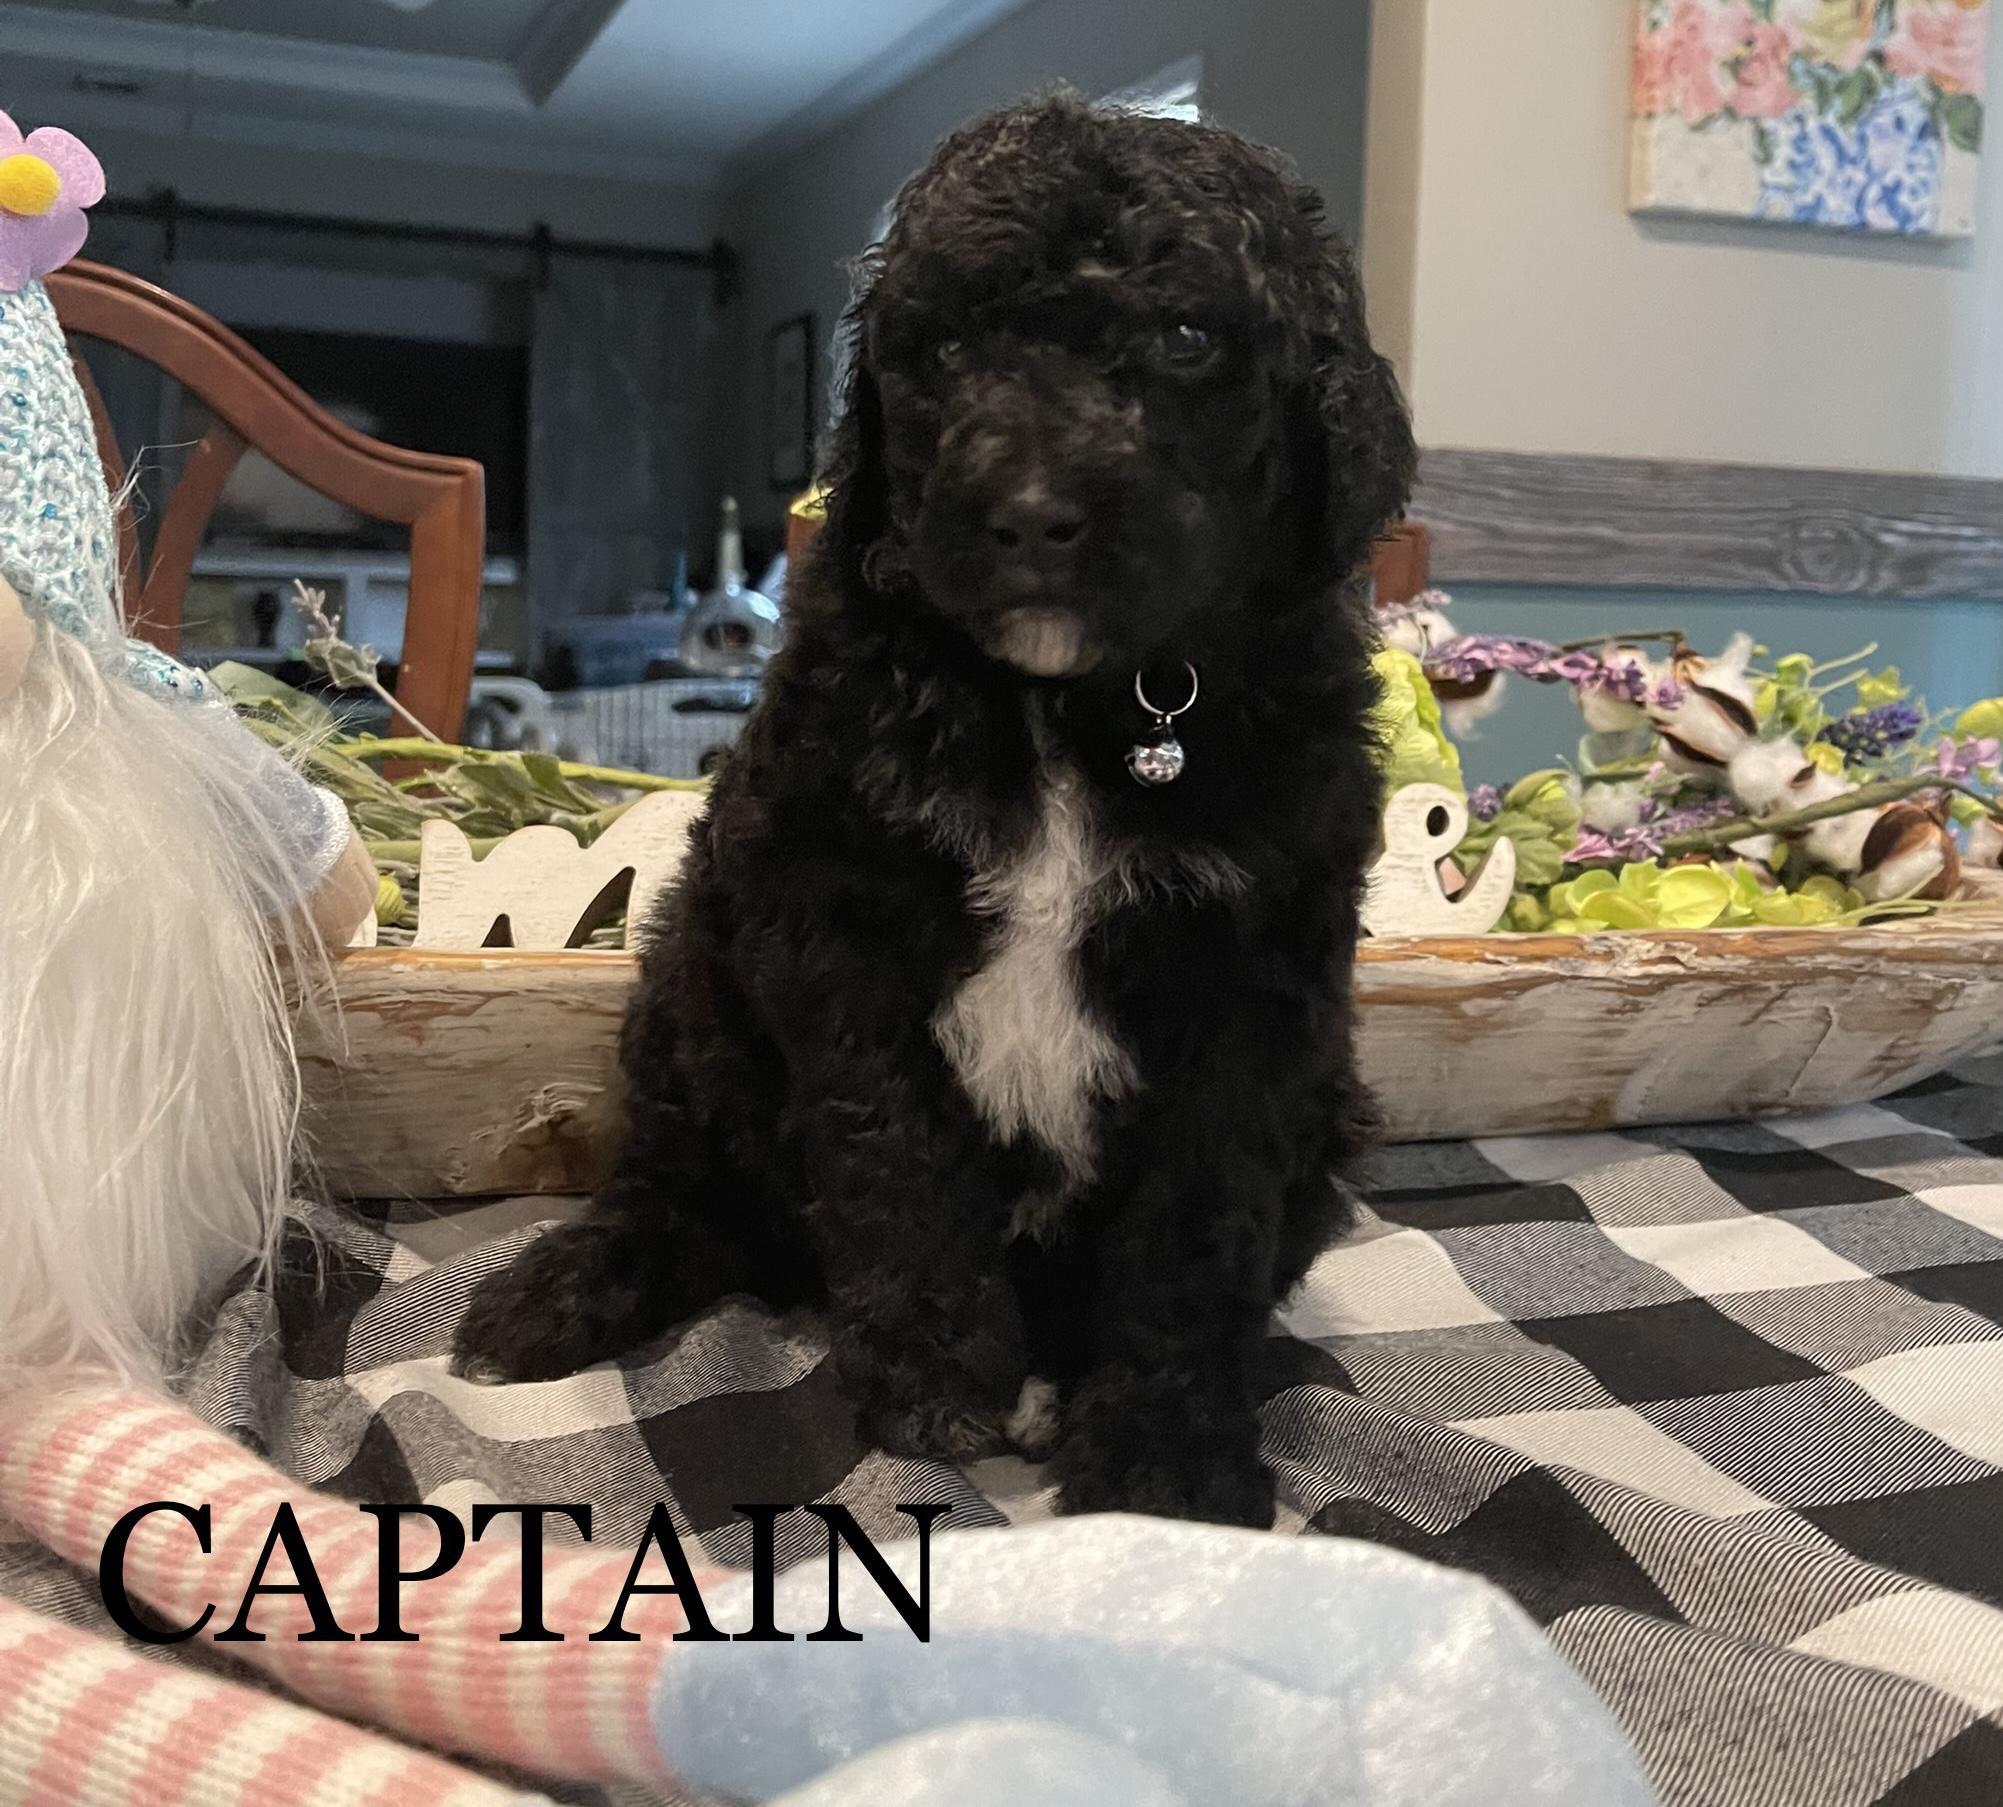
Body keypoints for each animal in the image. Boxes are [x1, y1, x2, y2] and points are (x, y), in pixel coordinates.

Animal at [453, 94, 1414, 1526]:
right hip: (691, 979)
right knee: (691, 1188)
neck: (1079, 702)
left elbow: (1200, 1217)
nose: (1026, 516)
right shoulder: (821, 906)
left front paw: (1165, 1447)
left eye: (1185, 338)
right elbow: (889, 1145)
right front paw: (936, 1374)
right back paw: (557, 1290)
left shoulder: (1259, 975)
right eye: (947, 347)